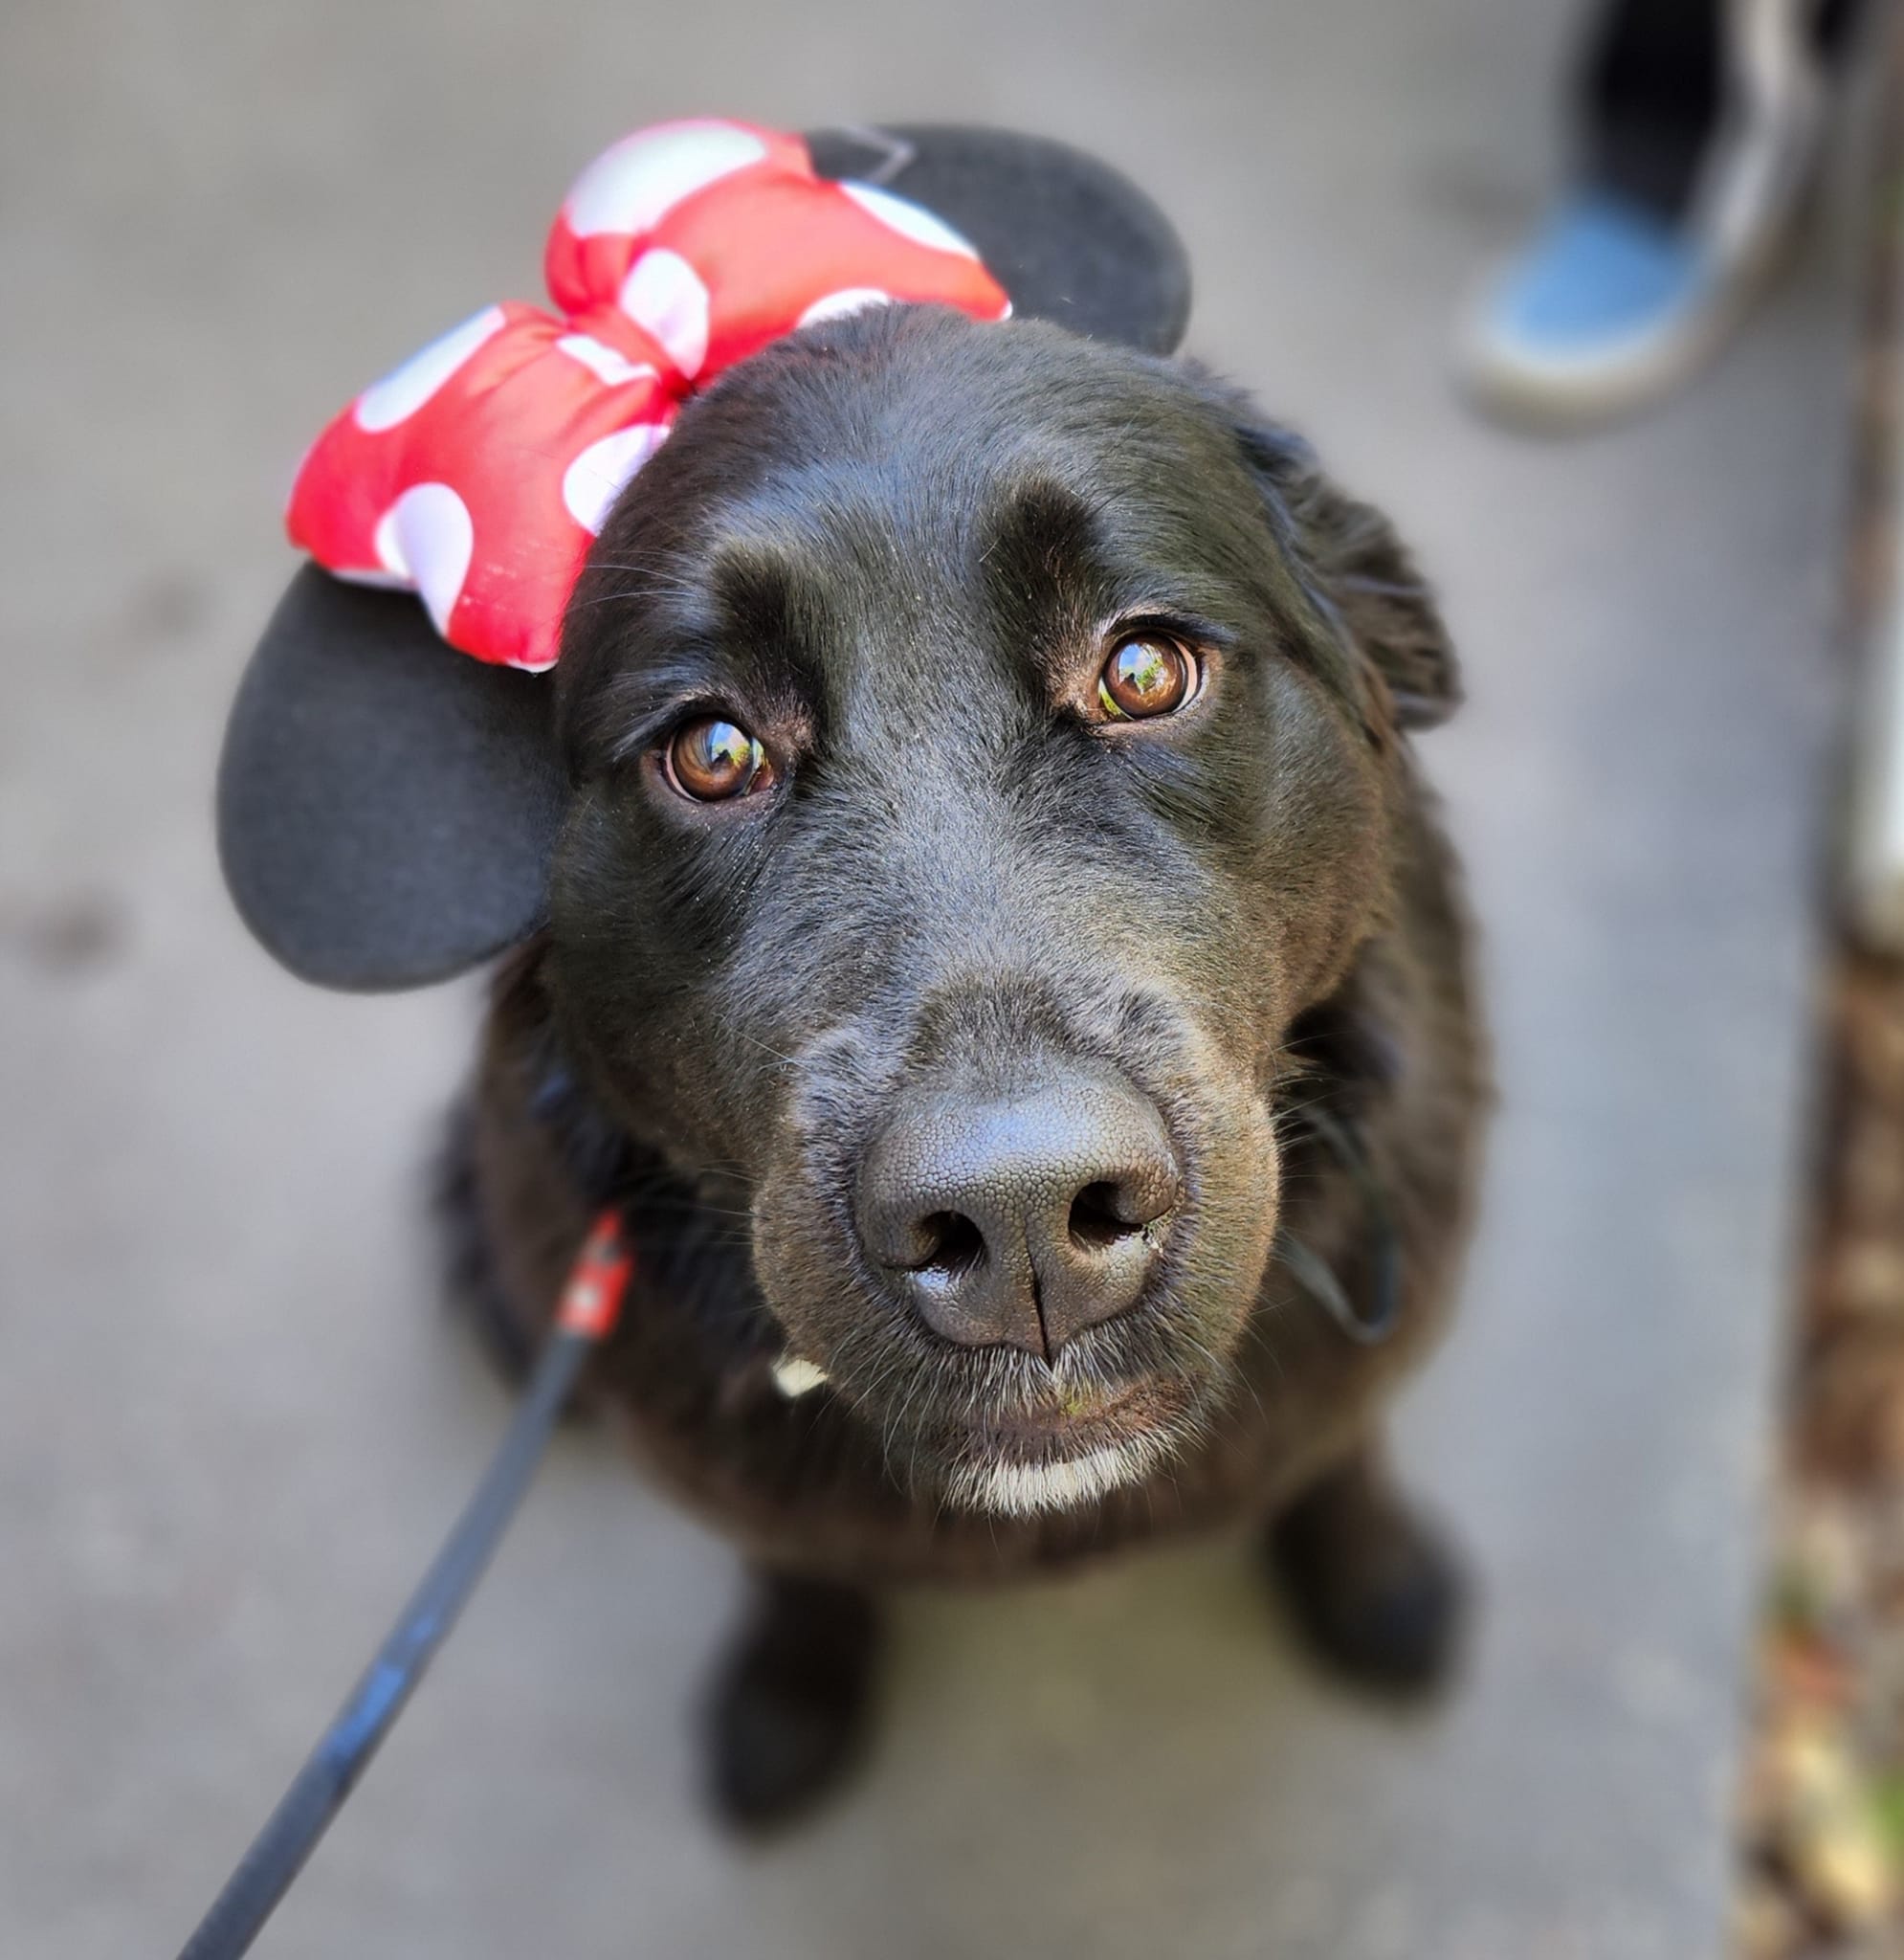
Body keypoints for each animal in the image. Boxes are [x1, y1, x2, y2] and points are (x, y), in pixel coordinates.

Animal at [446, 301, 1488, 1818]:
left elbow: (1334, 1457)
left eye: (1142, 671)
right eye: (711, 750)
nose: (1022, 1223)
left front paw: (1378, 1587)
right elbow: (795, 1568)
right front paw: (786, 1693)